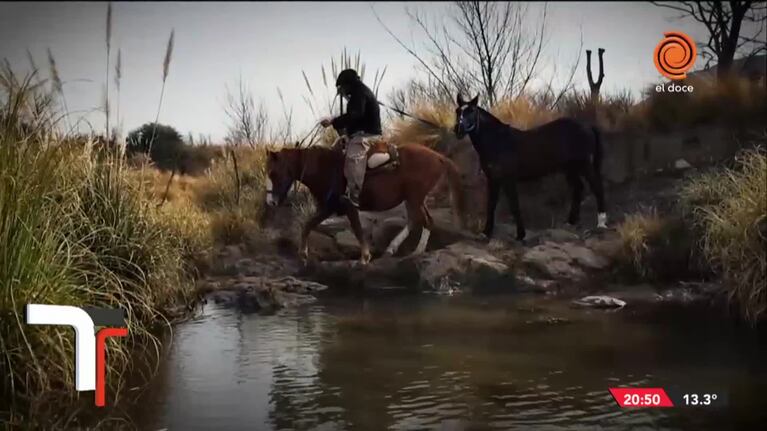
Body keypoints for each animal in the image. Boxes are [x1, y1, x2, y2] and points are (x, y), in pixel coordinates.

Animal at [265, 141, 467, 264]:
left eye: (273, 173)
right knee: (419, 220)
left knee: (422, 221)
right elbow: (308, 225)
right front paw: (303, 253)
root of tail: (438, 156)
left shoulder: (345, 206)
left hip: (414, 197)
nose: (270, 202)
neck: (325, 168)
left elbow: (356, 229)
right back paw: (397, 249)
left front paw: (364, 257)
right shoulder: (330, 207)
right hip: (414, 198)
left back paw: (415, 250)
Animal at [454, 94, 607, 241]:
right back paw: (571, 222)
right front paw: (485, 233)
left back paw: (601, 224)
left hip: (584, 165)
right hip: (570, 168)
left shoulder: (508, 179)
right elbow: (491, 205)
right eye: (458, 111)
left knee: (597, 187)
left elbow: (514, 206)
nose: (458, 130)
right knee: (578, 188)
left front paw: (520, 235)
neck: (497, 141)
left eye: (471, 111)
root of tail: (587, 126)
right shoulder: (493, 179)